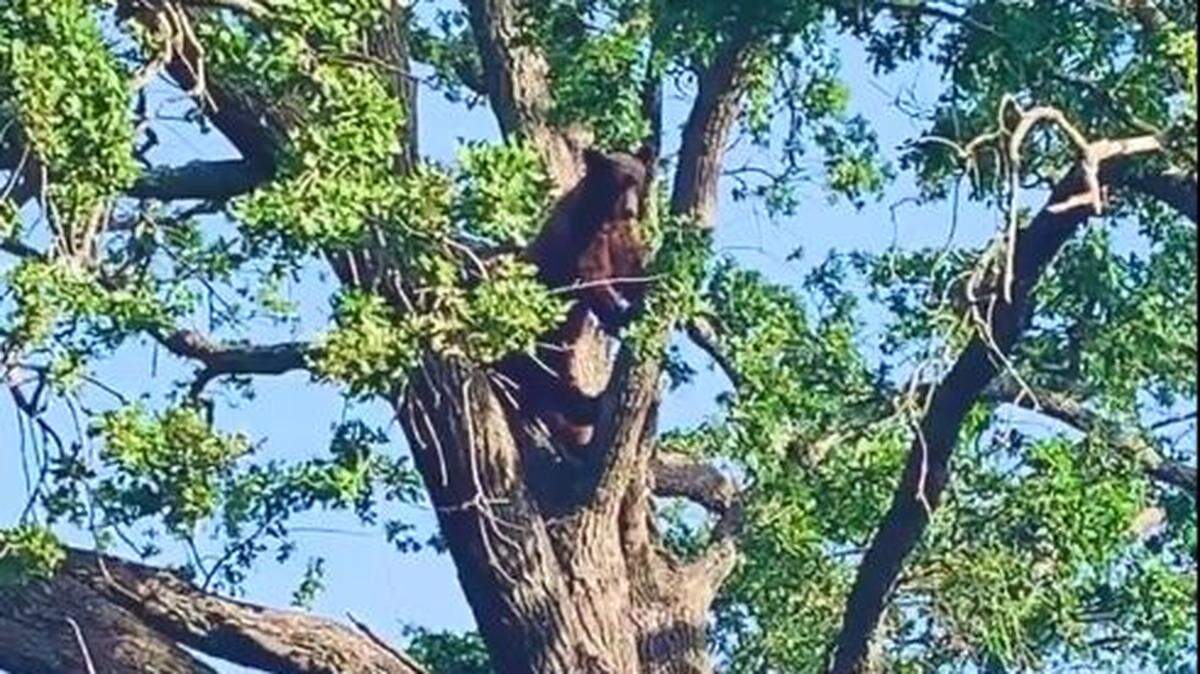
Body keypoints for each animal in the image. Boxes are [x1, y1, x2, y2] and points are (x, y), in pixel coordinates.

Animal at [496, 146, 655, 447]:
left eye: (637, 181)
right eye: (618, 183)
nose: (630, 210)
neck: (605, 216)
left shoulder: (621, 237)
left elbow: (631, 270)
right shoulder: (582, 234)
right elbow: (590, 277)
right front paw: (622, 316)